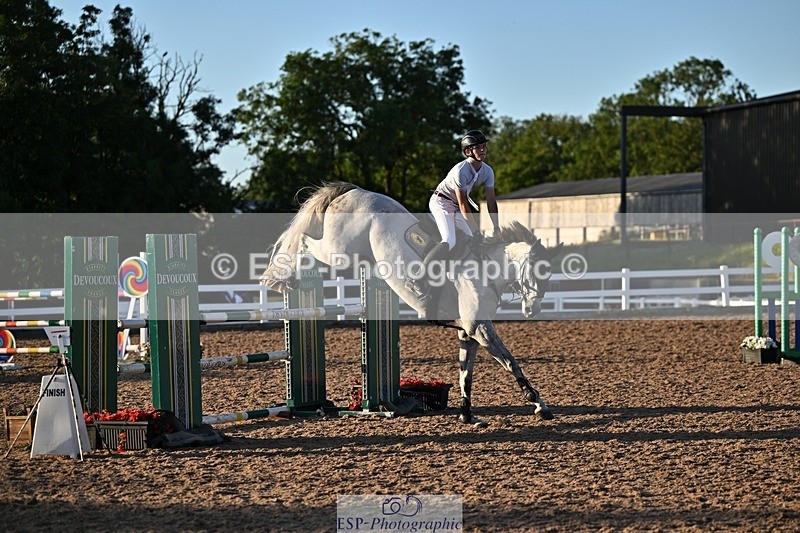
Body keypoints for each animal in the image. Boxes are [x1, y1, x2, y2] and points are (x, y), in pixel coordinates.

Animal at [262, 182, 563, 426]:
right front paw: (539, 404)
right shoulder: (480, 328)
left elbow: (465, 374)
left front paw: (467, 415)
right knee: (305, 241)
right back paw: (288, 277)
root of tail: (353, 190)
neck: (487, 270)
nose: (533, 309)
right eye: (537, 270)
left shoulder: (469, 332)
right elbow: (511, 363)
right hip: (339, 250)